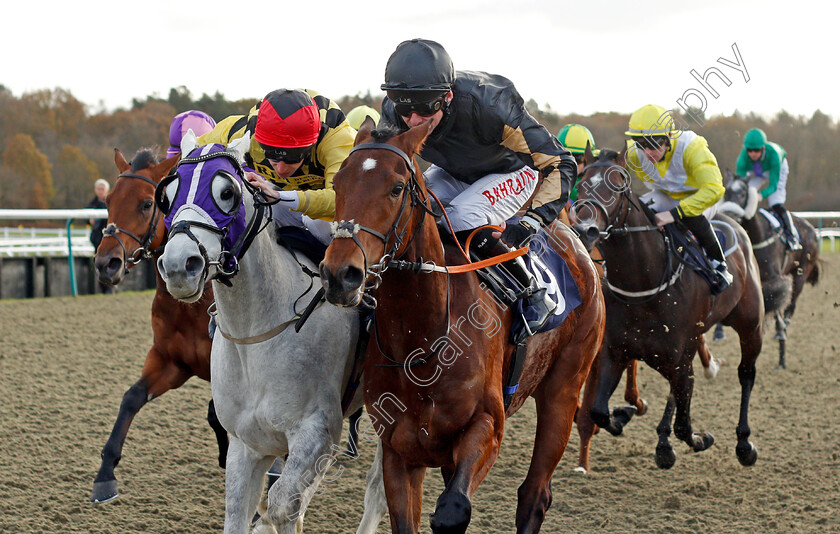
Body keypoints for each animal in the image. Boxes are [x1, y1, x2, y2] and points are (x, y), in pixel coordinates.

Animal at [90, 148, 225, 506]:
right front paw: (105, 475)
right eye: (108, 200)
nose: (106, 264)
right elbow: (131, 397)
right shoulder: (171, 361)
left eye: (147, 203)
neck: (192, 306)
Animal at [156, 132, 378, 532]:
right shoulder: (246, 442)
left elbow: (282, 505)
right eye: (166, 196)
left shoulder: (317, 433)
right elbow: (238, 513)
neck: (258, 335)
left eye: (226, 192)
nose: (181, 265)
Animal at [316, 121, 604, 534]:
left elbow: (452, 510)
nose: (341, 274)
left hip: (562, 391)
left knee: (534, 495)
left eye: (396, 187)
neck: (423, 340)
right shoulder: (400, 449)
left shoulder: (487, 428)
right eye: (338, 182)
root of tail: (578, 244)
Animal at [576, 149, 764, 472]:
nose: (584, 228)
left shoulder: (678, 358)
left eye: (619, 187)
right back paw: (662, 441)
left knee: (746, 374)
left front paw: (701, 439)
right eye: (582, 181)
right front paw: (623, 415)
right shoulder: (617, 351)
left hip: (751, 326)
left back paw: (744, 443)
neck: (643, 284)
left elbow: (684, 426)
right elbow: (599, 410)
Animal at [716, 172, 820, 368]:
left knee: (791, 304)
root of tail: (809, 226)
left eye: (743, 192)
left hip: (800, 273)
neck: (758, 236)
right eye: (727, 191)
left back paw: (783, 328)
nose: (728, 214)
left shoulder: (774, 278)